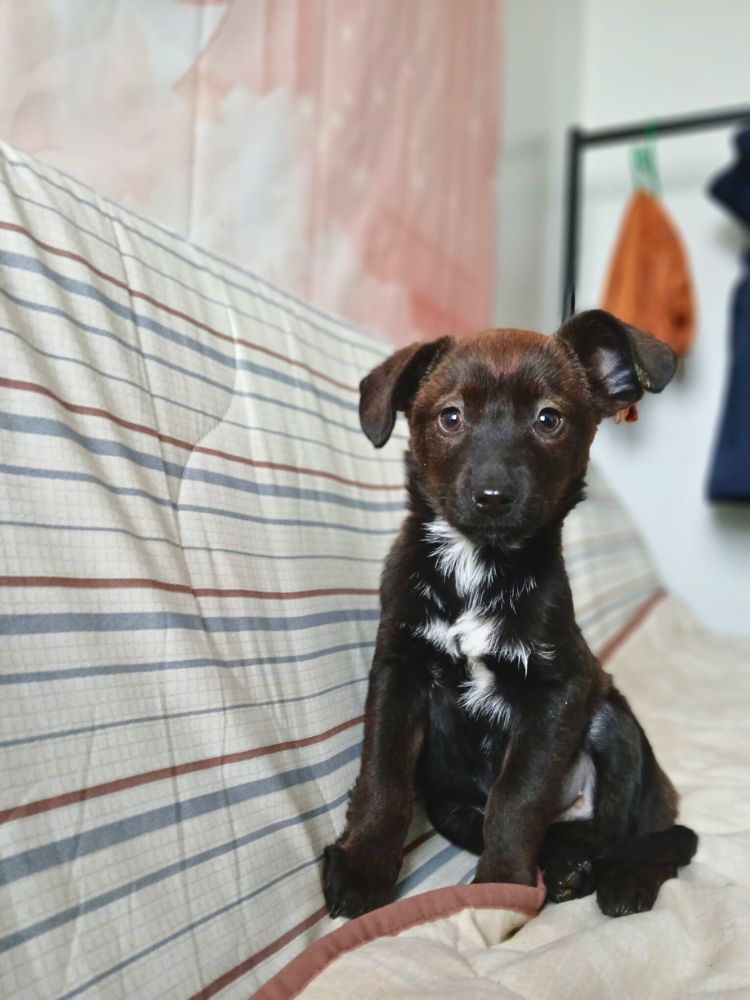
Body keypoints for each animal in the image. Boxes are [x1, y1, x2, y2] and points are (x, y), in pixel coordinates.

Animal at [323, 309, 697, 920]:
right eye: (450, 416)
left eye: (549, 419)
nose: (493, 495)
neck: (478, 564)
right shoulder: (399, 669)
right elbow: (383, 773)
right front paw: (363, 865)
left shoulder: (556, 691)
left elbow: (517, 796)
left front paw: (501, 888)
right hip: (453, 804)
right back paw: (570, 869)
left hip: (613, 723)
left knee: (643, 838)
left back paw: (620, 881)